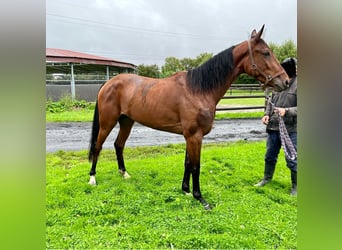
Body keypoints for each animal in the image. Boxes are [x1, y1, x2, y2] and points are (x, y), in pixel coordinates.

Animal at [88, 24, 288, 209]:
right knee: (98, 146)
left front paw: (185, 190)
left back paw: (124, 174)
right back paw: (92, 179)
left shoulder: (189, 136)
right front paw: (200, 198)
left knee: (118, 145)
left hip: (126, 121)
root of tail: (109, 83)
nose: (285, 81)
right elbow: (195, 166)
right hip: (107, 123)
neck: (198, 90)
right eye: (266, 53)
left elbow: (187, 163)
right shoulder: (194, 136)